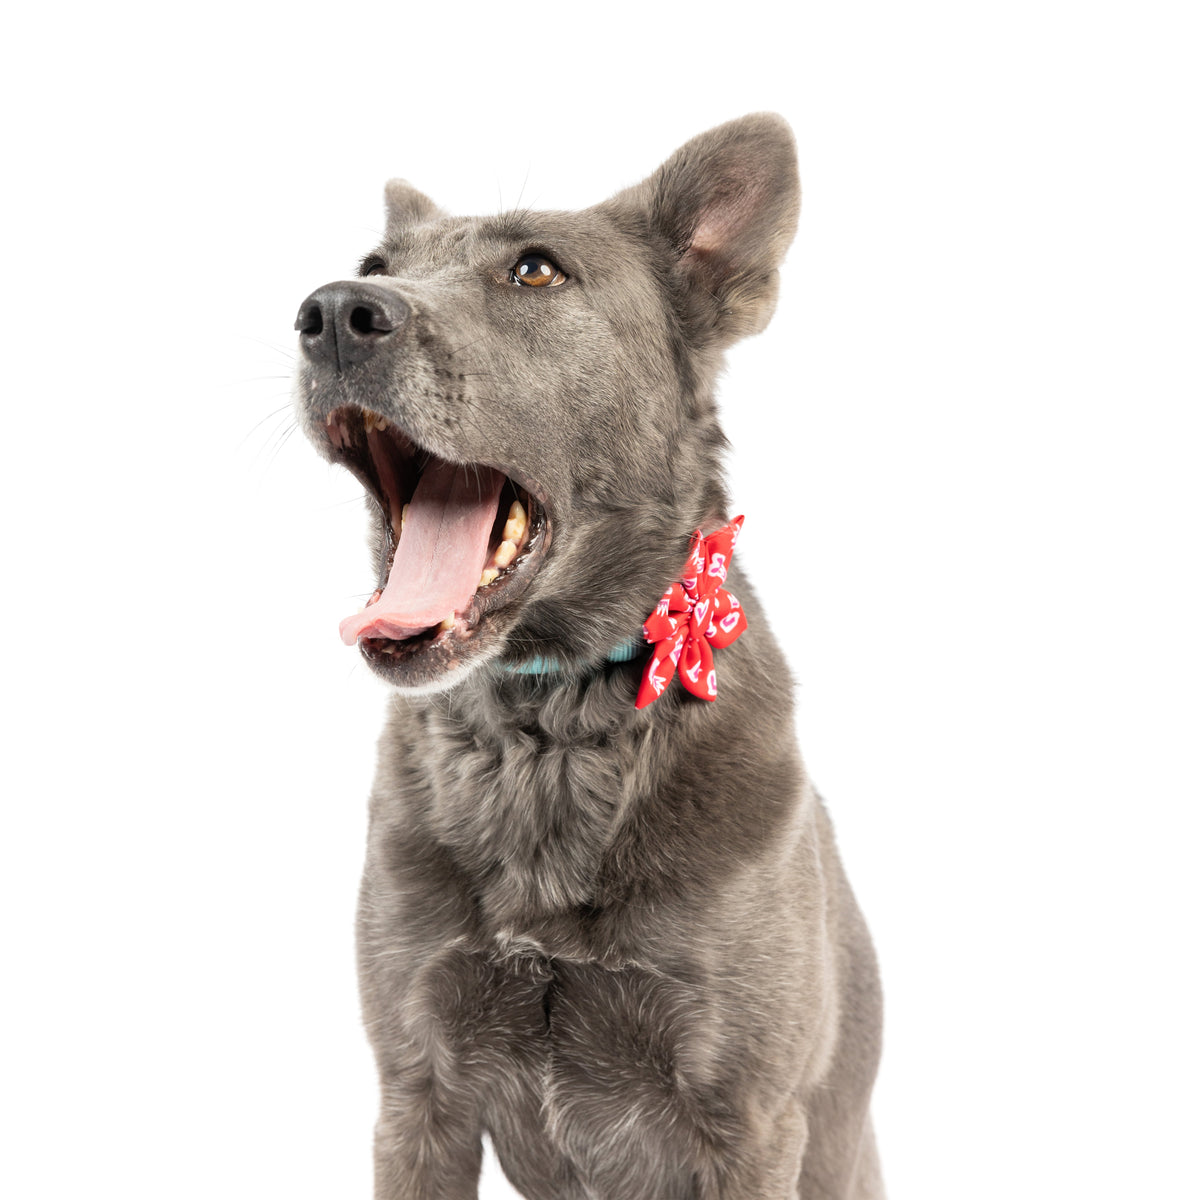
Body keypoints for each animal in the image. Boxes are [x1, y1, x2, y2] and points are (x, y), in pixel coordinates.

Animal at [296, 112, 888, 1200]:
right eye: (374, 266)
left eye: (535, 270)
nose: (331, 313)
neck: (545, 737)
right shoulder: (418, 1098)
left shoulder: (747, 1123)